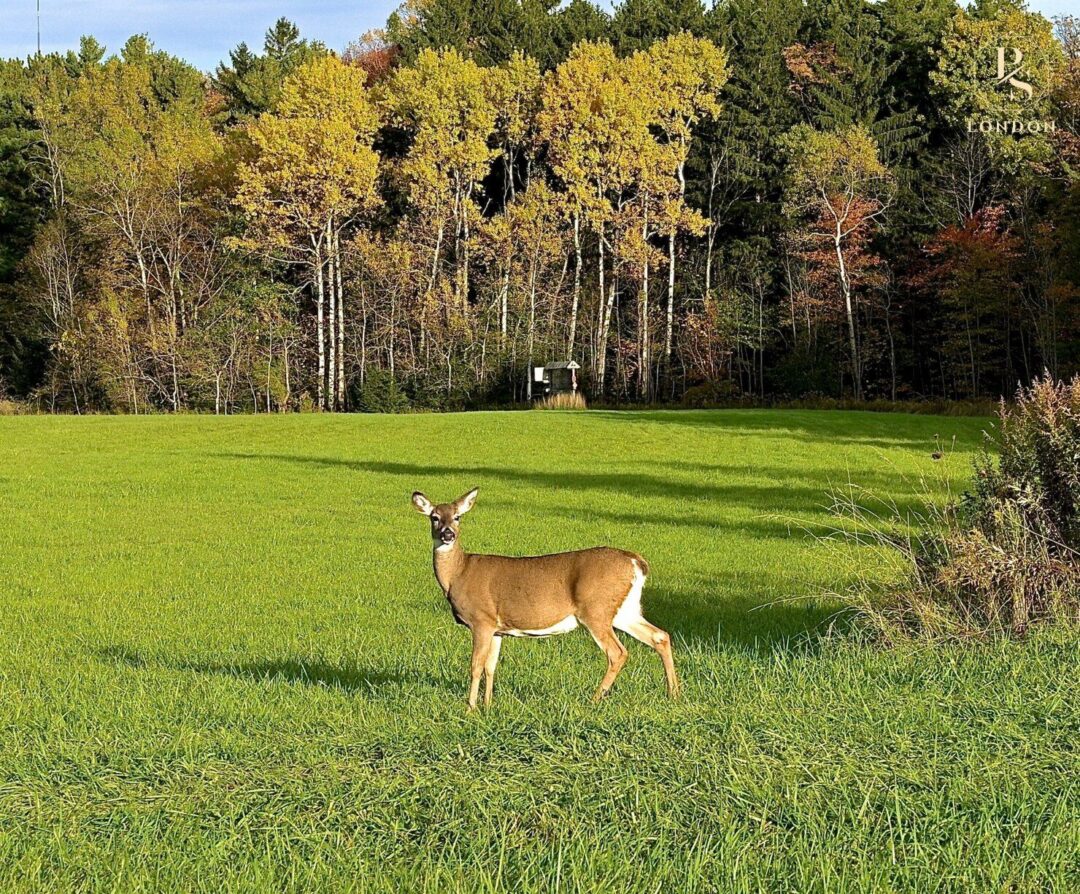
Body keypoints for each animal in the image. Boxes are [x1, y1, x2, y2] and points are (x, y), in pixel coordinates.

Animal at [408, 485, 678, 708]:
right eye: (434, 517)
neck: (459, 572)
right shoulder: (497, 628)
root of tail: (637, 562)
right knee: (660, 636)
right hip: (624, 609)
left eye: (457, 517)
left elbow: (475, 666)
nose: (448, 534)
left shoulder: (481, 619)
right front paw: (488, 706)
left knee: (618, 652)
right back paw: (674, 693)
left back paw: (593, 699)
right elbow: (491, 667)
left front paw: (470, 709)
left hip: (596, 609)